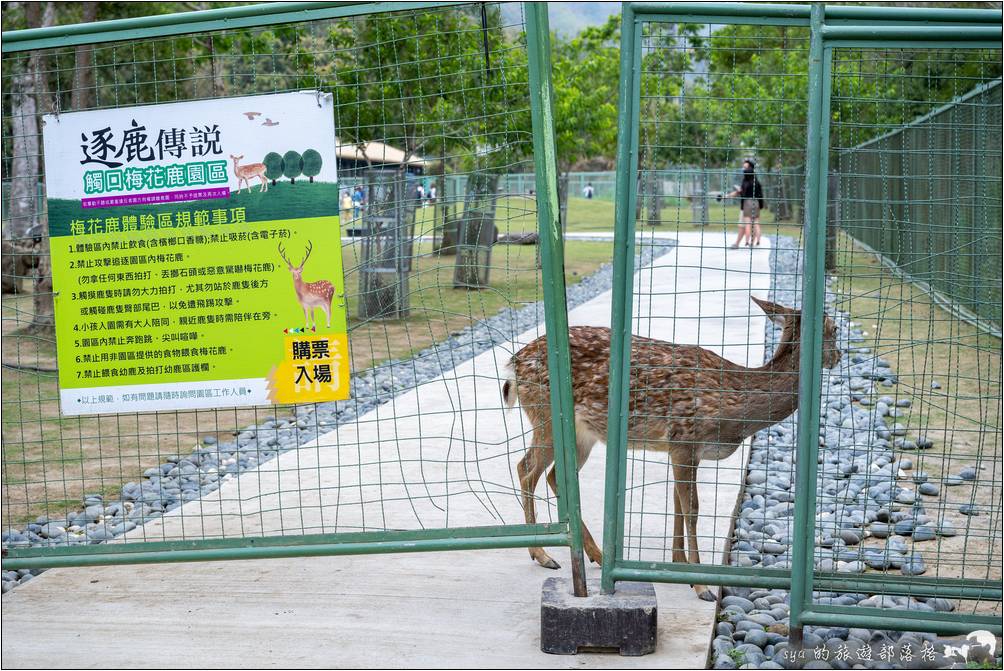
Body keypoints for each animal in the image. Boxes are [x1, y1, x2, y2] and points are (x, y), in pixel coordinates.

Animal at [501, 295, 839, 598]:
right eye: (834, 328)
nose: (838, 356)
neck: (737, 404)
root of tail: (513, 365)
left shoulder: (682, 449)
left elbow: (677, 502)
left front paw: (680, 565)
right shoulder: (685, 437)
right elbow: (692, 508)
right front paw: (701, 585)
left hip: (581, 434)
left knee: (551, 475)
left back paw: (594, 554)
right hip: (547, 415)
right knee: (526, 469)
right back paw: (542, 554)